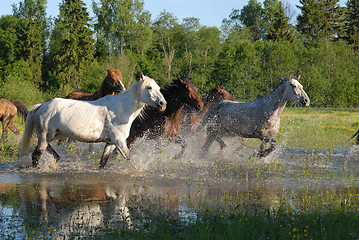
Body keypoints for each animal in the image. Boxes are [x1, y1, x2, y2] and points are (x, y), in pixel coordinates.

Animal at [21, 73, 169, 169]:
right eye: (149, 87)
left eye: (159, 88)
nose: (163, 104)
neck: (122, 108)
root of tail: (41, 106)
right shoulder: (119, 141)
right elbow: (128, 158)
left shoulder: (111, 143)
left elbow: (103, 162)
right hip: (45, 137)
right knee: (36, 155)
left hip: (53, 136)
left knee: (46, 149)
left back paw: (56, 158)